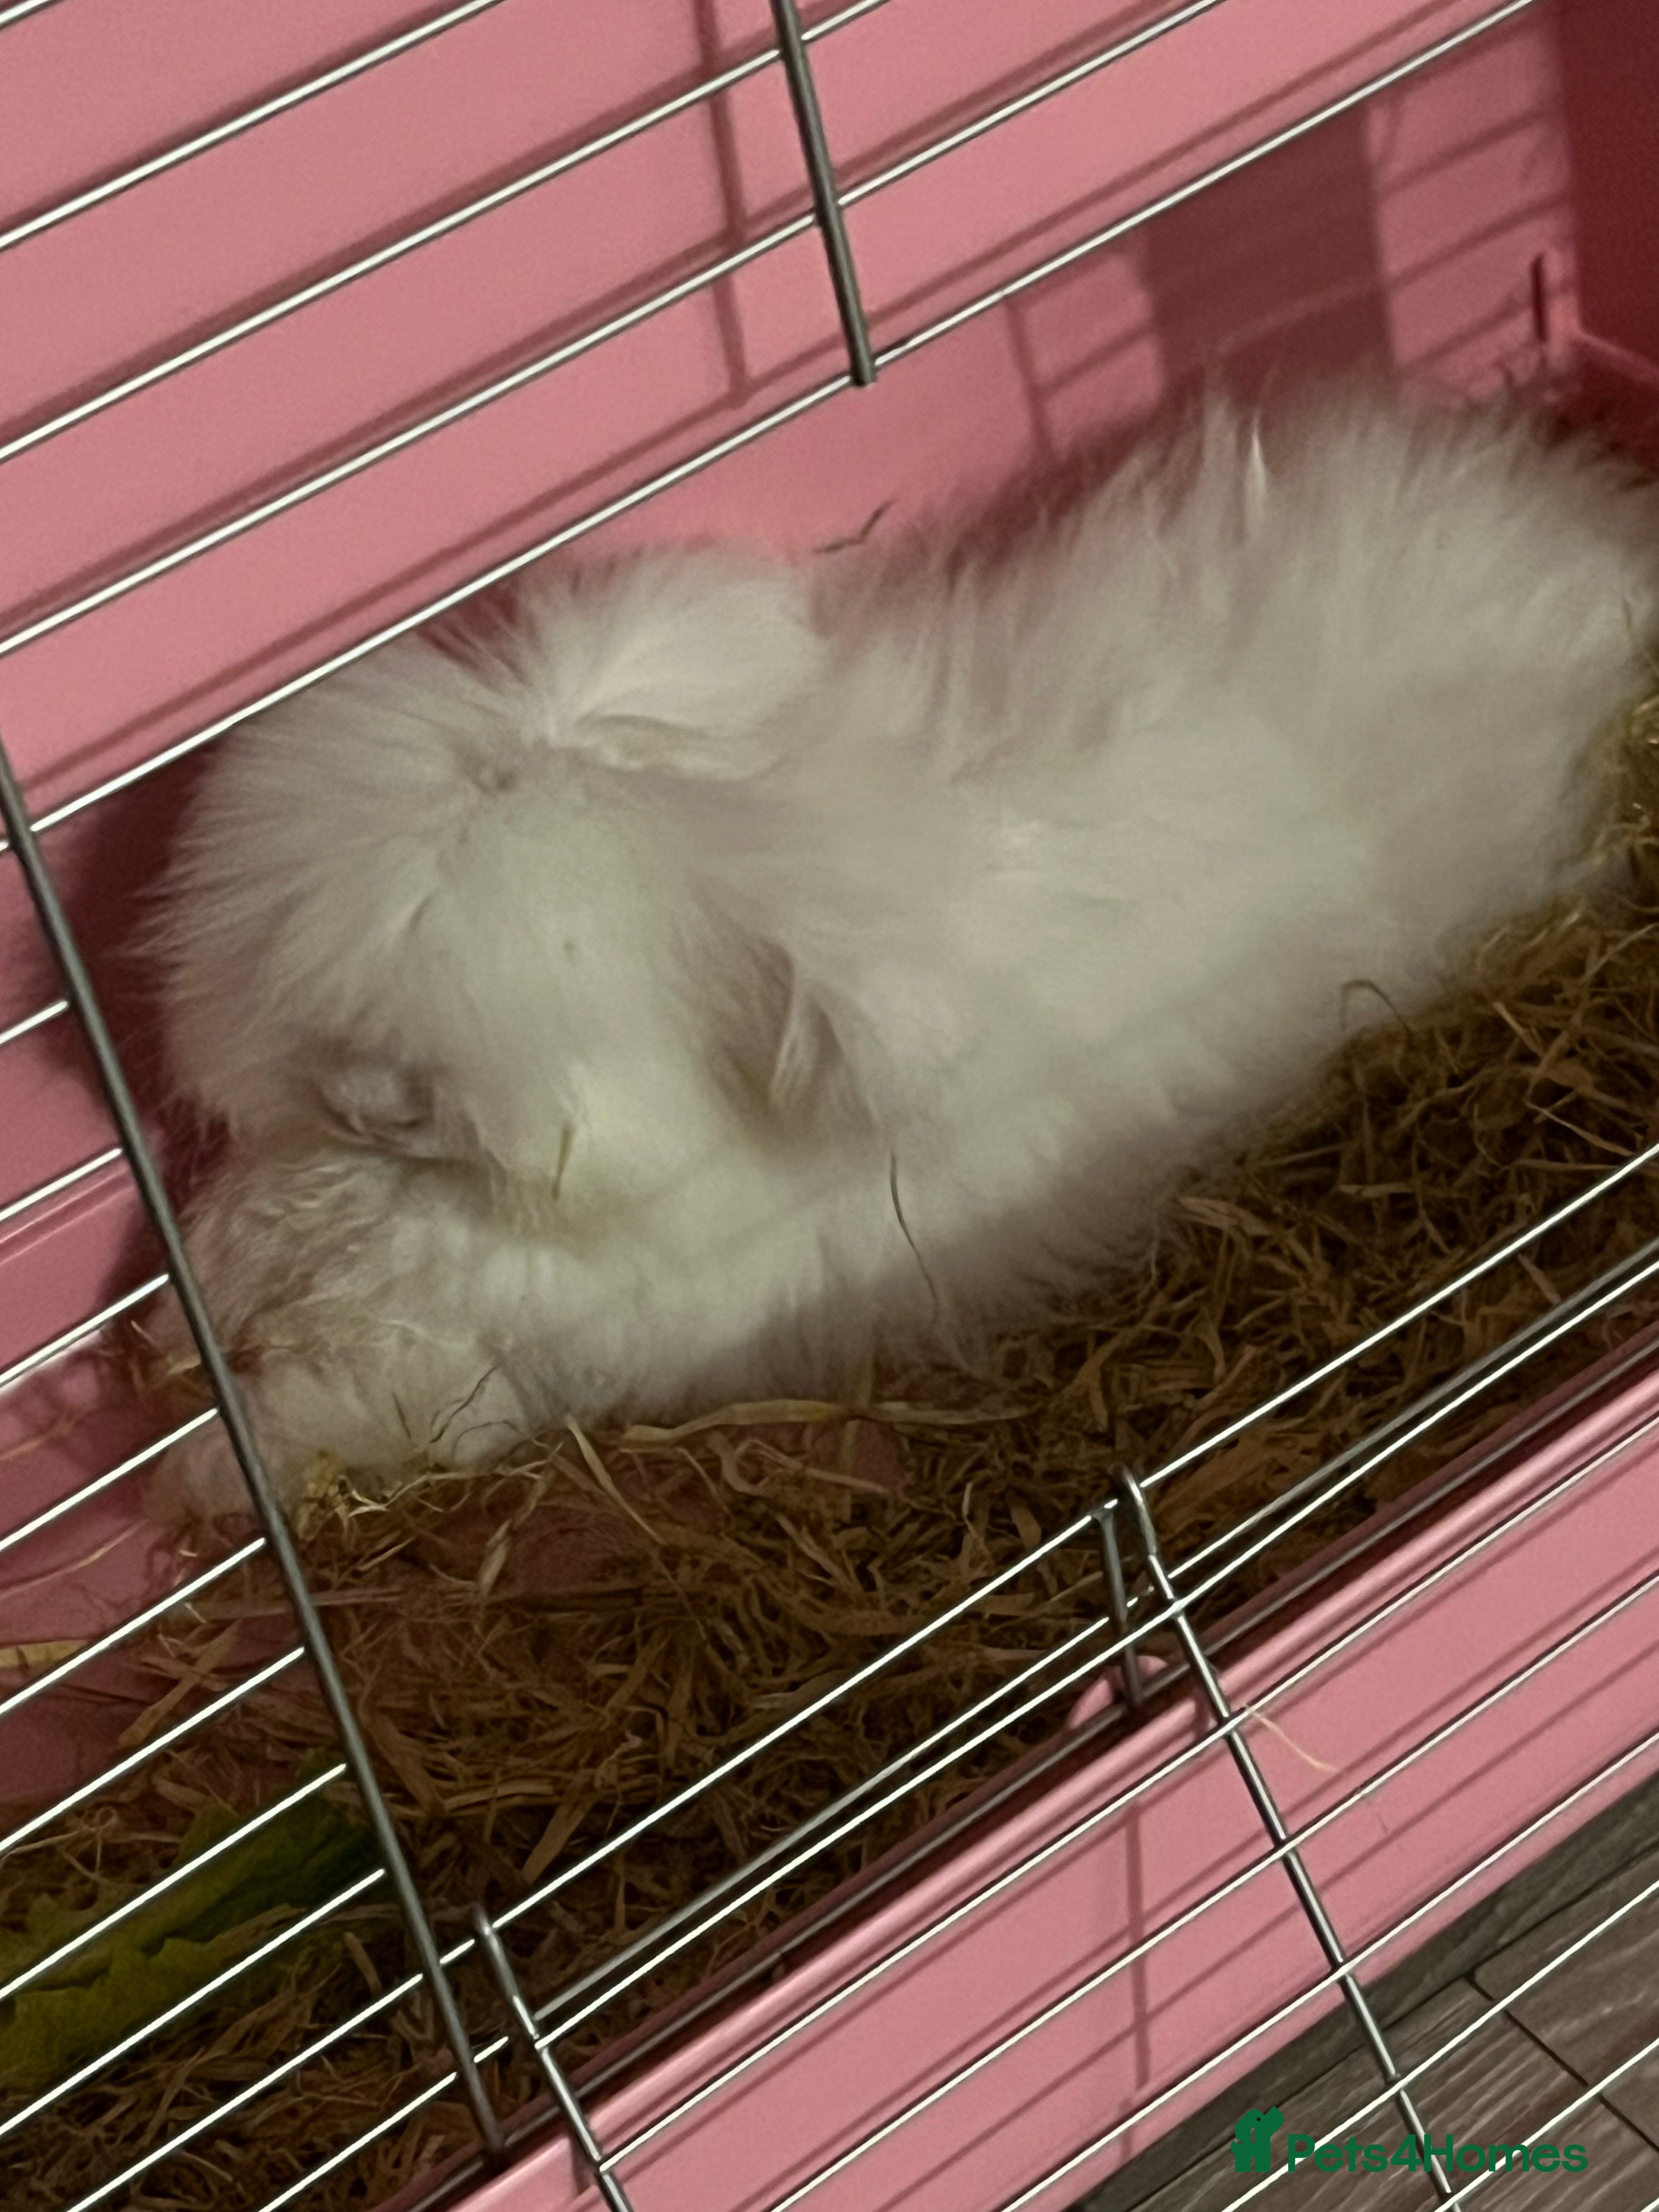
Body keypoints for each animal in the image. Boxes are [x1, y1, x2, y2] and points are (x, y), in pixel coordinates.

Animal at [147, 384, 1659, 1522]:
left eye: (539, 1014)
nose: (365, 1101)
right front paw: (180, 1337)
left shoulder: (514, 1353)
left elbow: (382, 1404)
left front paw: (222, 1465)